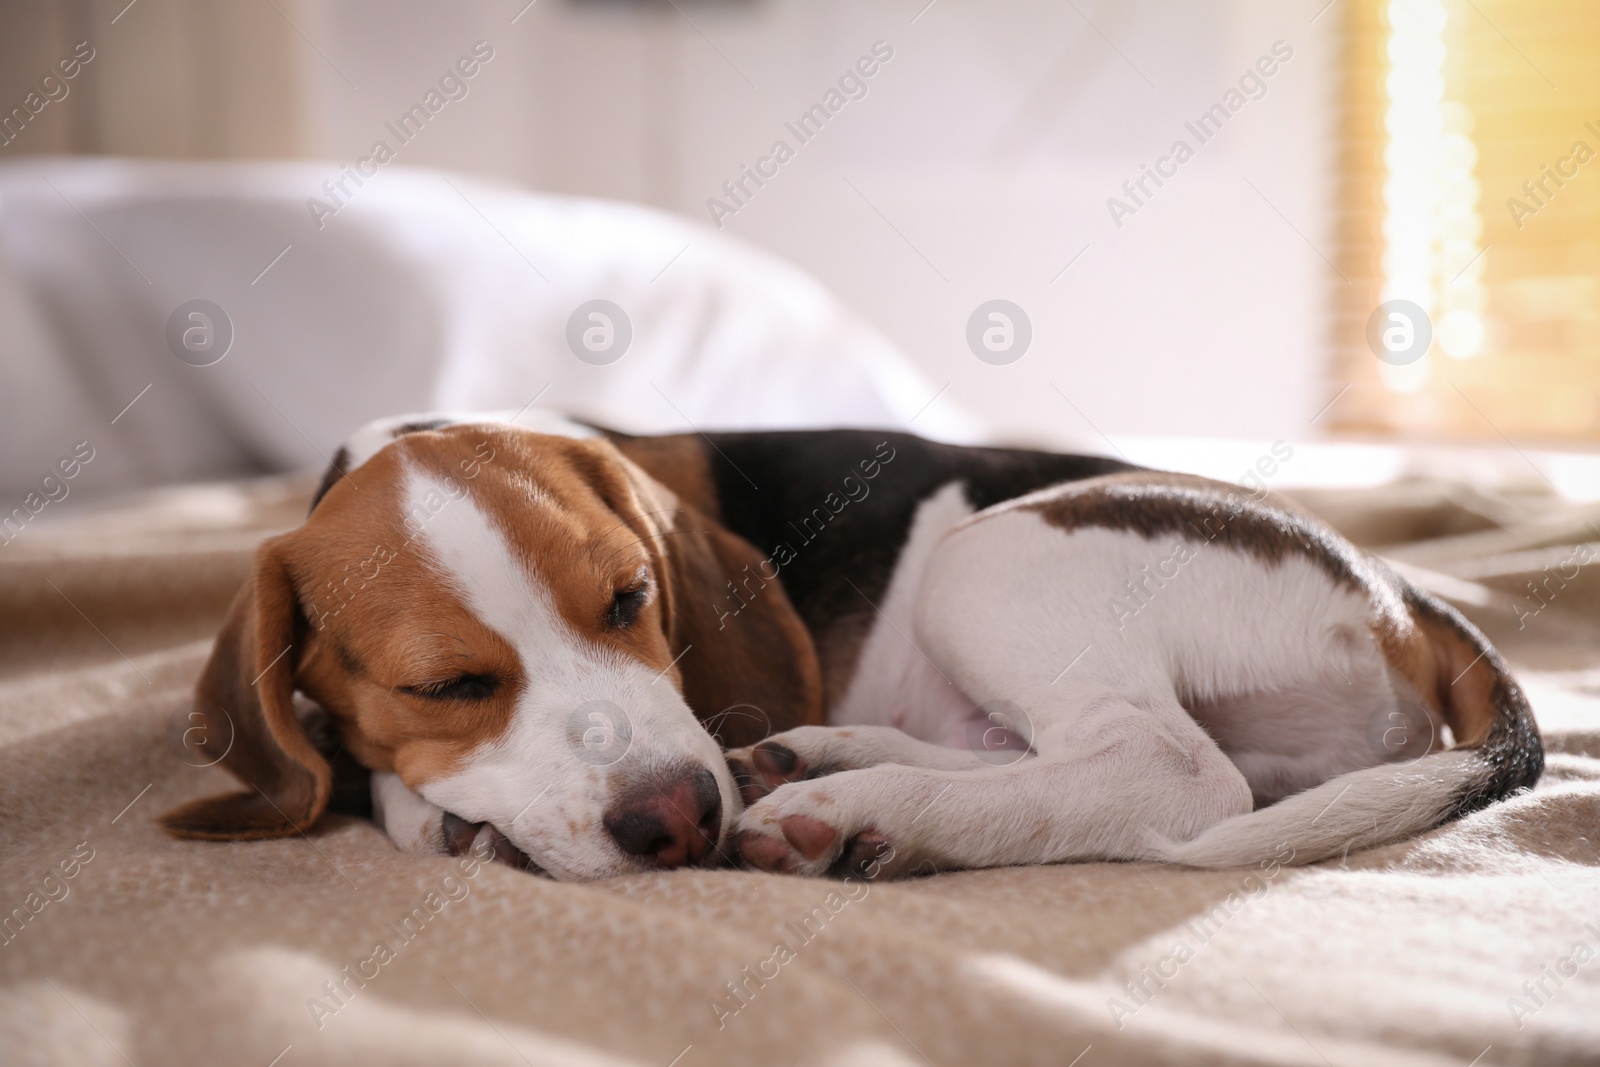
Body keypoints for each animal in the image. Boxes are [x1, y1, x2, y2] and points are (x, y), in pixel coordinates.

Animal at [159, 412, 1536, 883]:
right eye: (447, 684)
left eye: (633, 597)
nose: (680, 819)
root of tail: (1400, 590)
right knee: (1071, 765)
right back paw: (829, 772)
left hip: (988, 555)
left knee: (1171, 773)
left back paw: (866, 804)